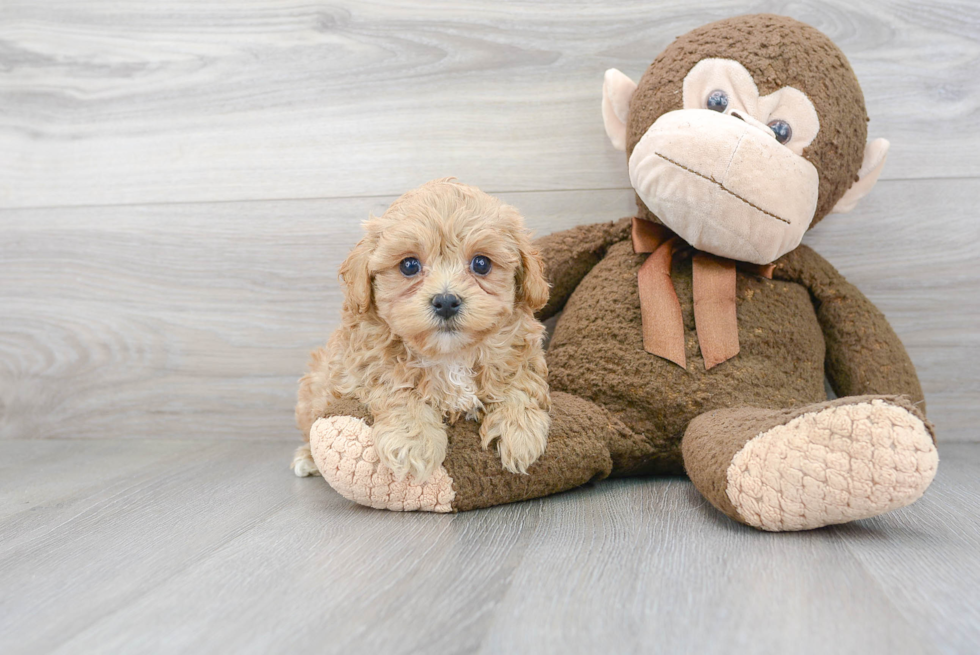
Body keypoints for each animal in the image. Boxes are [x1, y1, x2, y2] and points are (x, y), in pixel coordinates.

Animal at [290, 179, 552, 482]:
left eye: (481, 263)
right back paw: (306, 458)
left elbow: (518, 383)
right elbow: (398, 390)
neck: (450, 356)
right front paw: (413, 442)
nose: (446, 301)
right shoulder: (363, 367)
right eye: (409, 265)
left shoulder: (519, 352)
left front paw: (520, 431)